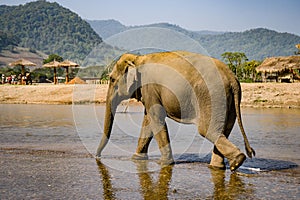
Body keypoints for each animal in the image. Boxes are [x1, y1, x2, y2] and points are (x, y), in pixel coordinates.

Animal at [96, 50, 255, 171]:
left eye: (111, 79)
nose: (97, 157)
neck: (138, 59)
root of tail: (233, 79)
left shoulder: (150, 87)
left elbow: (156, 119)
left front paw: (163, 163)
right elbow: (148, 121)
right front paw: (136, 158)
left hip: (212, 96)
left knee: (207, 130)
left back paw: (236, 161)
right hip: (229, 102)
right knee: (223, 130)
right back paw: (220, 167)